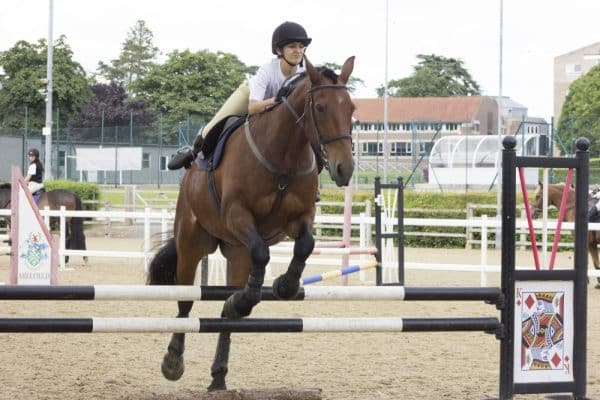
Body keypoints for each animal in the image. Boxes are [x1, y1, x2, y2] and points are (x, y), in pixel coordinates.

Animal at [148, 56, 356, 390]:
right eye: (321, 107)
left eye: (351, 109)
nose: (344, 169)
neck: (283, 155)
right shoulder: (237, 215)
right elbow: (262, 251)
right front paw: (250, 299)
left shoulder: (300, 217)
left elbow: (305, 244)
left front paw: (283, 286)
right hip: (192, 243)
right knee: (185, 302)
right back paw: (173, 362)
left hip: (236, 252)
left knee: (226, 309)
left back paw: (220, 372)